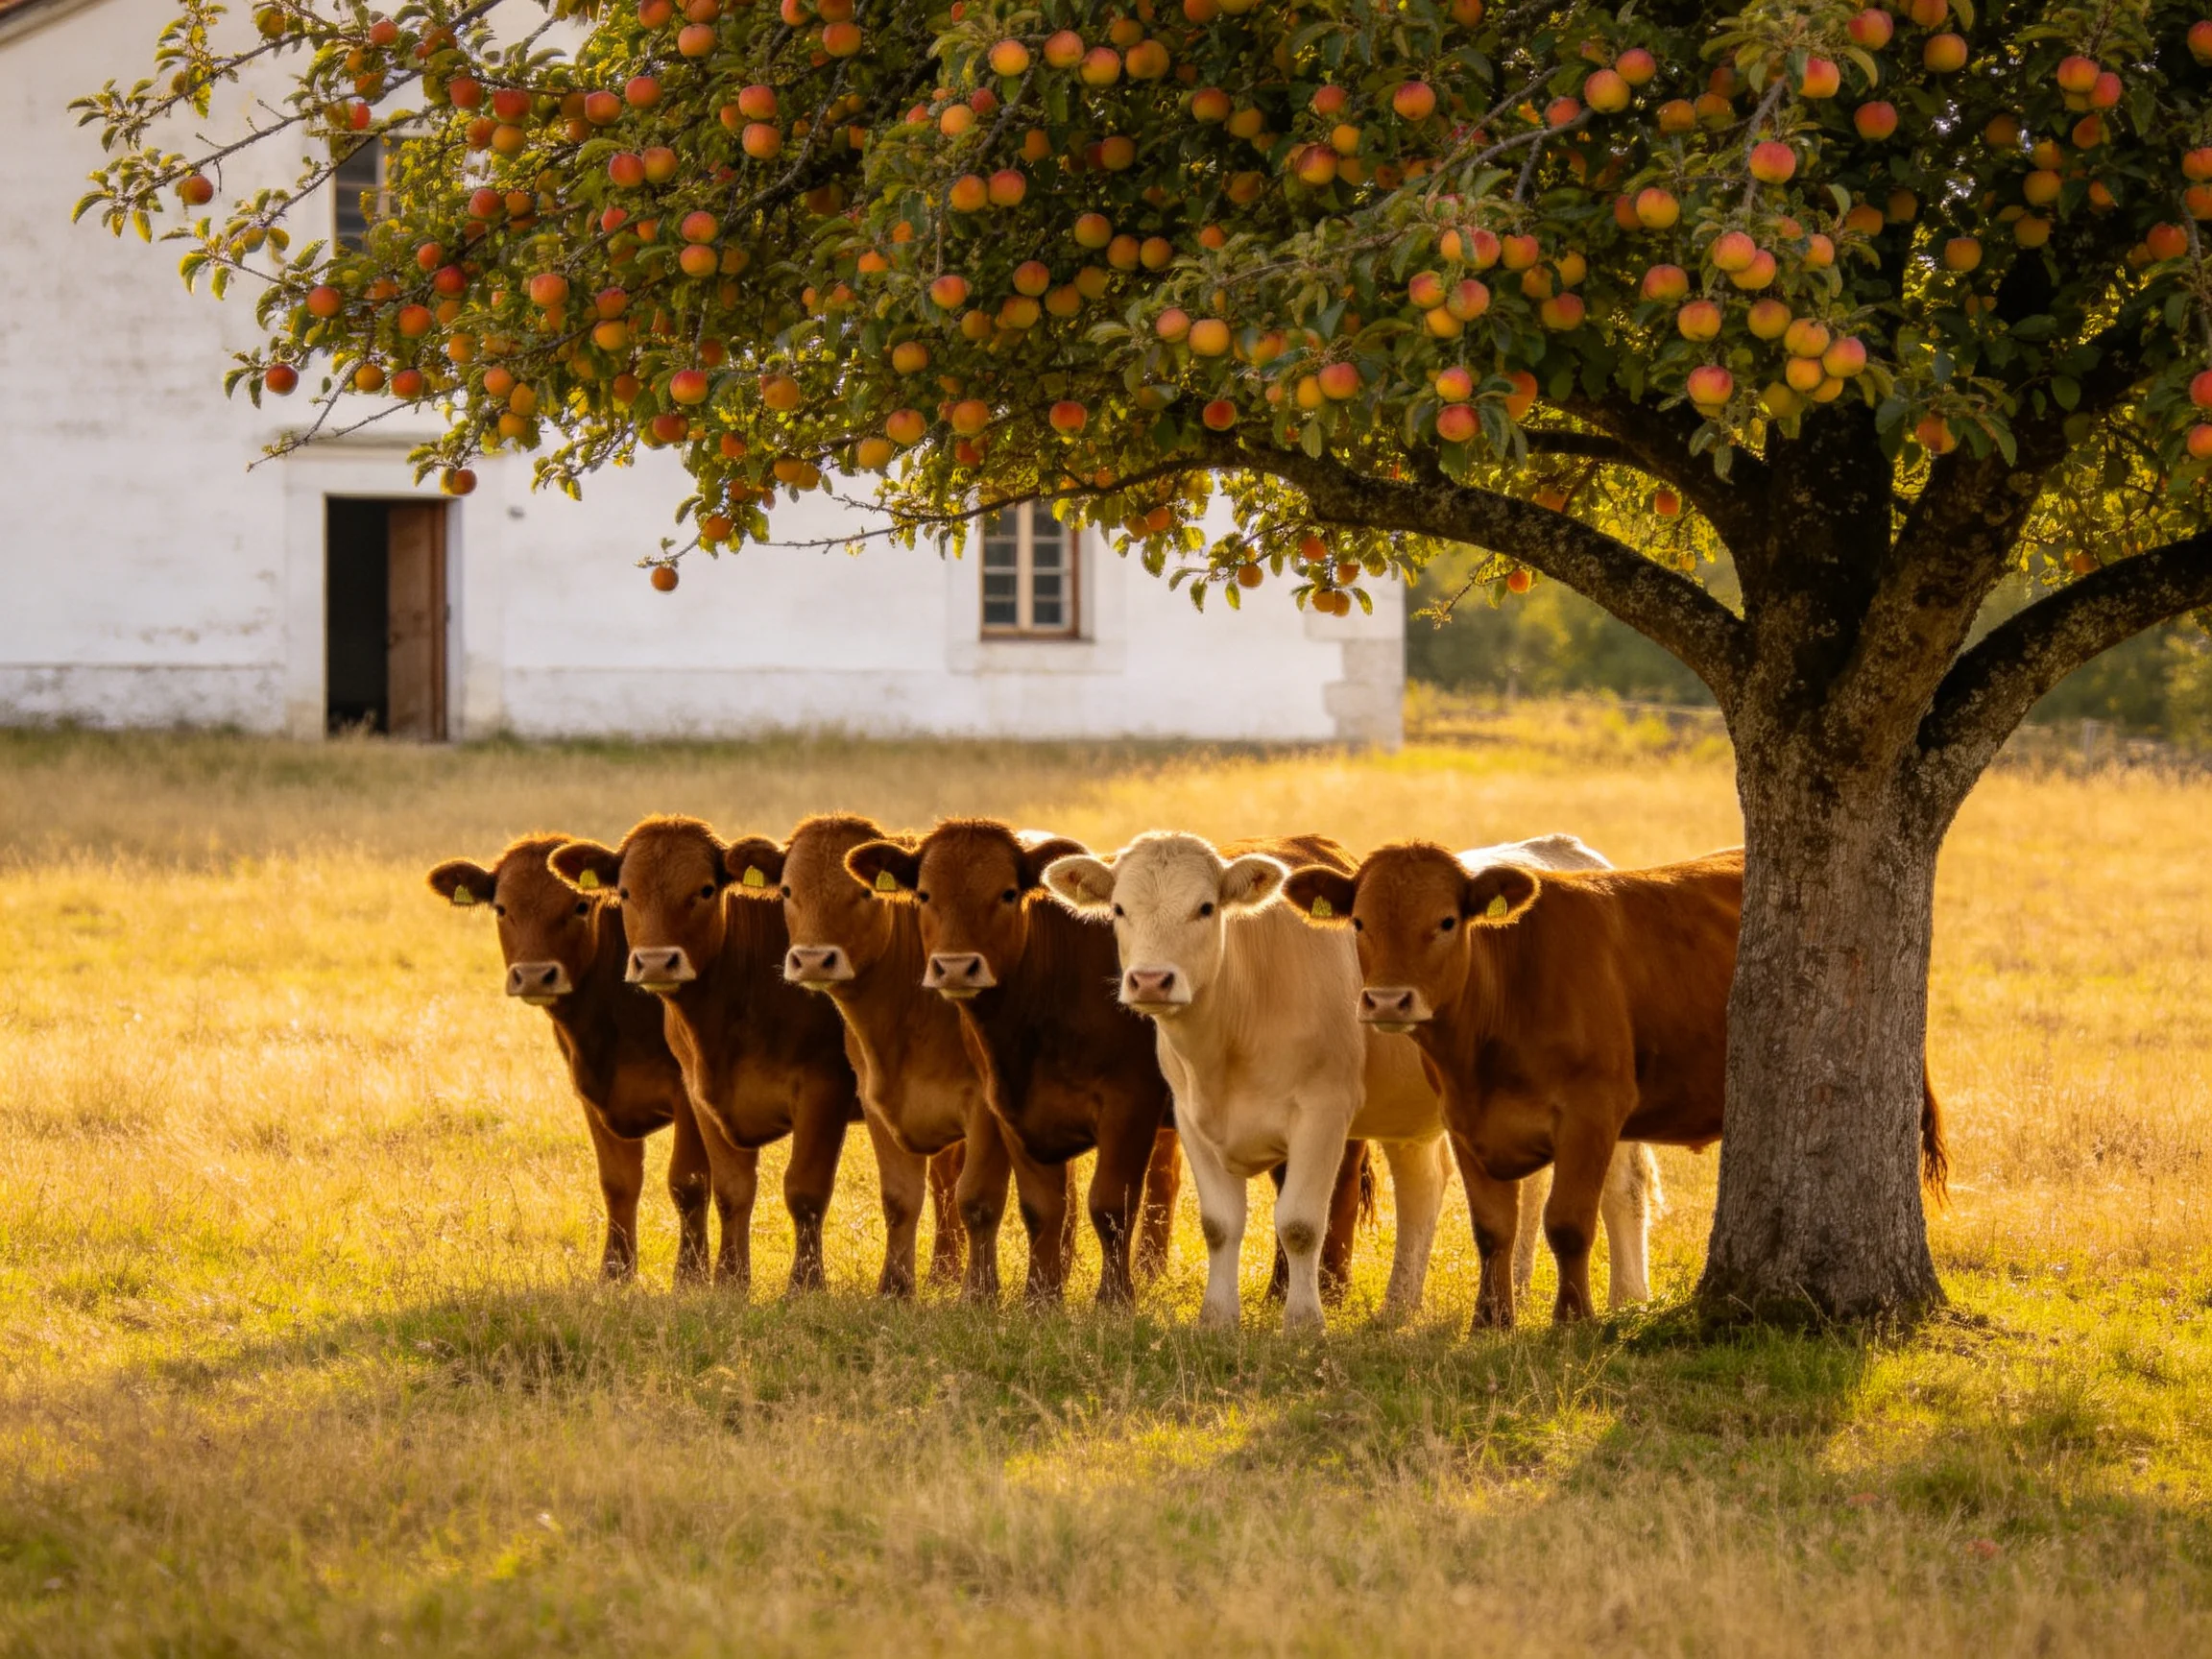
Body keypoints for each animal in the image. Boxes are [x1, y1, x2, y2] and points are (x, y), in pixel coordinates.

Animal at [427, 837, 729, 1285]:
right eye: (501, 908)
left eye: (580, 906)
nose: (535, 975)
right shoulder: (592, 1094)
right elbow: (618, 1182)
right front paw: (615, 1272)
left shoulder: (688, 1094)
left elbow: (687, 1182)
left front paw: (689, 1276)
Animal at [549, 817, 869, 1298]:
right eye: (625, 892)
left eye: (704, 890)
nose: (656, 962)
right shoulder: (702, 1093)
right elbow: (728, 1189)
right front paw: (729, 1280)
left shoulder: (825, 1087)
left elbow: (805, 1189)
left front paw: (805, 1286)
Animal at [1042, 831, 1656, 1332]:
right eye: (1119, 909)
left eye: (1205, 907)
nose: (1150, 980)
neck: (1237, 1020)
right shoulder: (1194, 1120)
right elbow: (1219, 1223)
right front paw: (1216, 1319)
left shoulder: (1322, 1113)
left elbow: (1299, 1223)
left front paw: (1303, 1322)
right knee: (1428, 1187)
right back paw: (1405, 1304)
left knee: (1622, 1190)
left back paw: (1628, 1298)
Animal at [1282, 844, 1947, 1328]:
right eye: (1360, 921)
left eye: (1446, 921)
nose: (1387, 1001)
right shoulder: (1465, 1121)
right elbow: (1493, 1229)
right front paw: (1490, 1322)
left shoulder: (1592, 1112)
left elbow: (1568, 1221)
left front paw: (1572, 1319)